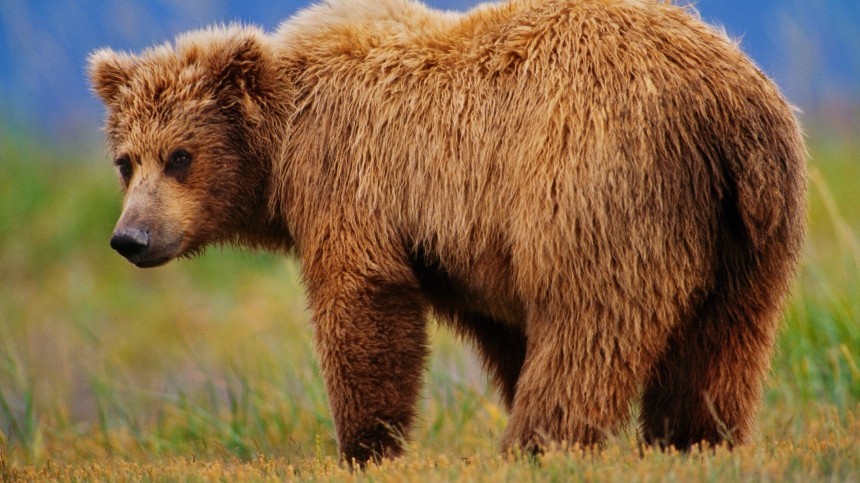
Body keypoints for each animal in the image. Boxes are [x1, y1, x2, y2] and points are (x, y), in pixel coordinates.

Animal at [87, 0, 808, 466]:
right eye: (126, 161)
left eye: (180, 156)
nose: (131, 238)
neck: (282, 144)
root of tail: (728, 99)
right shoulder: (467, 243)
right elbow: (504, 328)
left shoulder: (348, 178)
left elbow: (363, 305)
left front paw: (366, 444)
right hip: (747, 224)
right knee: (725, 338)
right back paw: (697, 438)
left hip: (598, 177)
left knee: (590, 323)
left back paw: (536, 443)